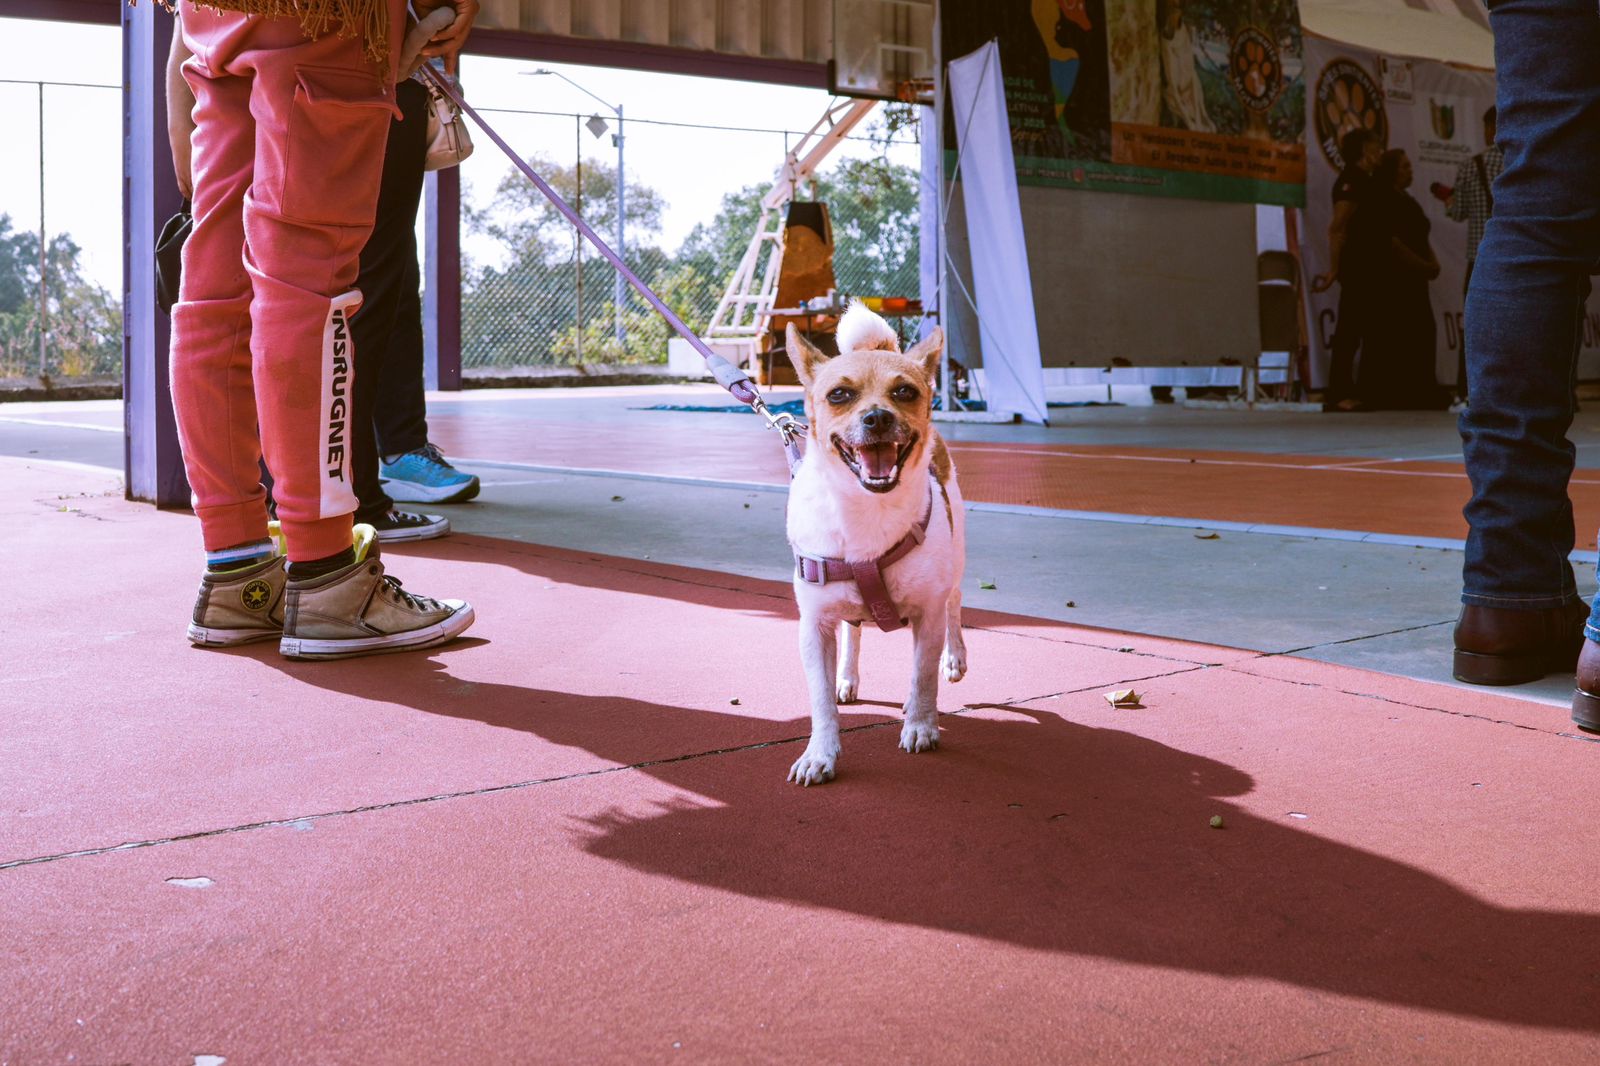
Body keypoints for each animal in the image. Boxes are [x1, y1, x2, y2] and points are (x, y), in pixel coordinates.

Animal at [784, 303, 967, 786]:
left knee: (955, 606)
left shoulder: (927, 615)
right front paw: (820, 753)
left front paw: (920, 725)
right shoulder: (814, 627)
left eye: (904, 391)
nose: (878, 417)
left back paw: (954, 659)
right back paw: (847, 677)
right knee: (854, 630)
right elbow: (819, 700)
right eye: (839, 395)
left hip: (957, 558)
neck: (867, 509)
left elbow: (922, 676)